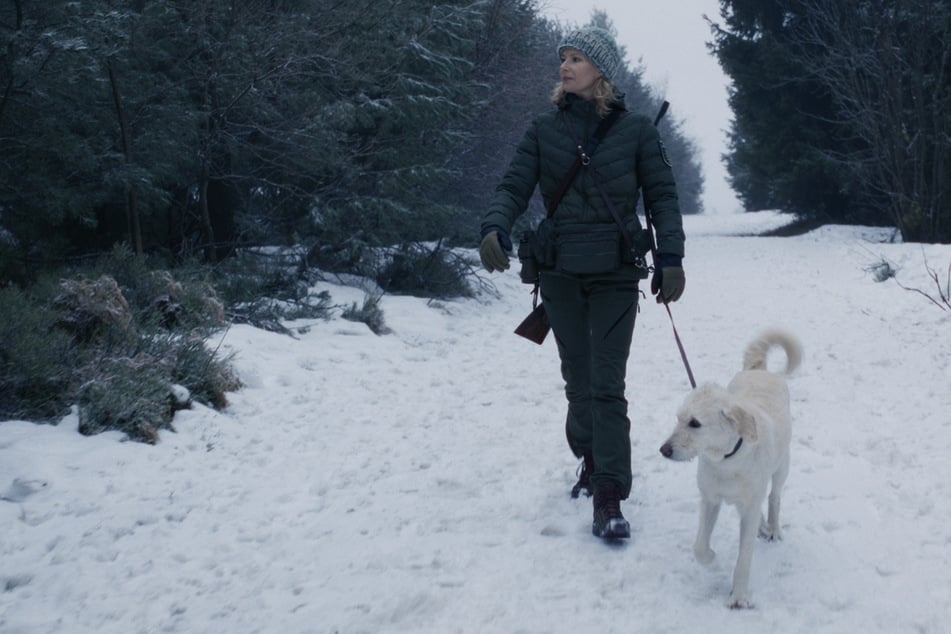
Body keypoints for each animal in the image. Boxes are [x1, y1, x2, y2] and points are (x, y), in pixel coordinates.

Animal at [660, 328, 804, 604]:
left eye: (695, 423)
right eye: (678, 419)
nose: (664, 450)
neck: (727, 461)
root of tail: (759, 369)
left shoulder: (748, 508)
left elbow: (744, 559)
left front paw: (738, 598)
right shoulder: (710, 500)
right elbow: (699, 546)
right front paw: (713, 561)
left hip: (783, 466)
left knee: (774, 497)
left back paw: (773, 528)